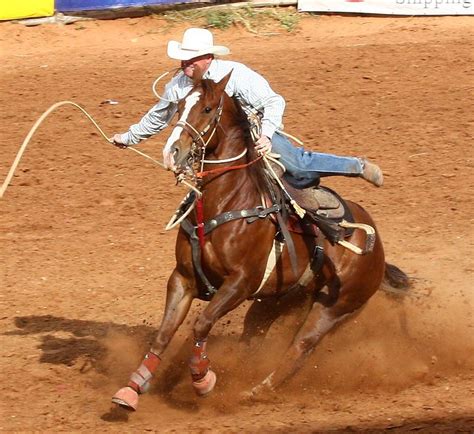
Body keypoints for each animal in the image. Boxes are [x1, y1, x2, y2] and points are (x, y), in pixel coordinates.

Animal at [110, 72, 408, 410]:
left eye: (208, 108)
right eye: (179, 106)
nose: (173, 151)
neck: (224, 202)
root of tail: (378, 250)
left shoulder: (240, 282)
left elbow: (202, 323)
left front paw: (202, 380)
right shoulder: (183, 277)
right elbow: (164, 332)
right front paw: (134, 387)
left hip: (335, 307)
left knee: (300, 347)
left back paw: (256, 390)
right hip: (276, 302)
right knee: (253, 340)